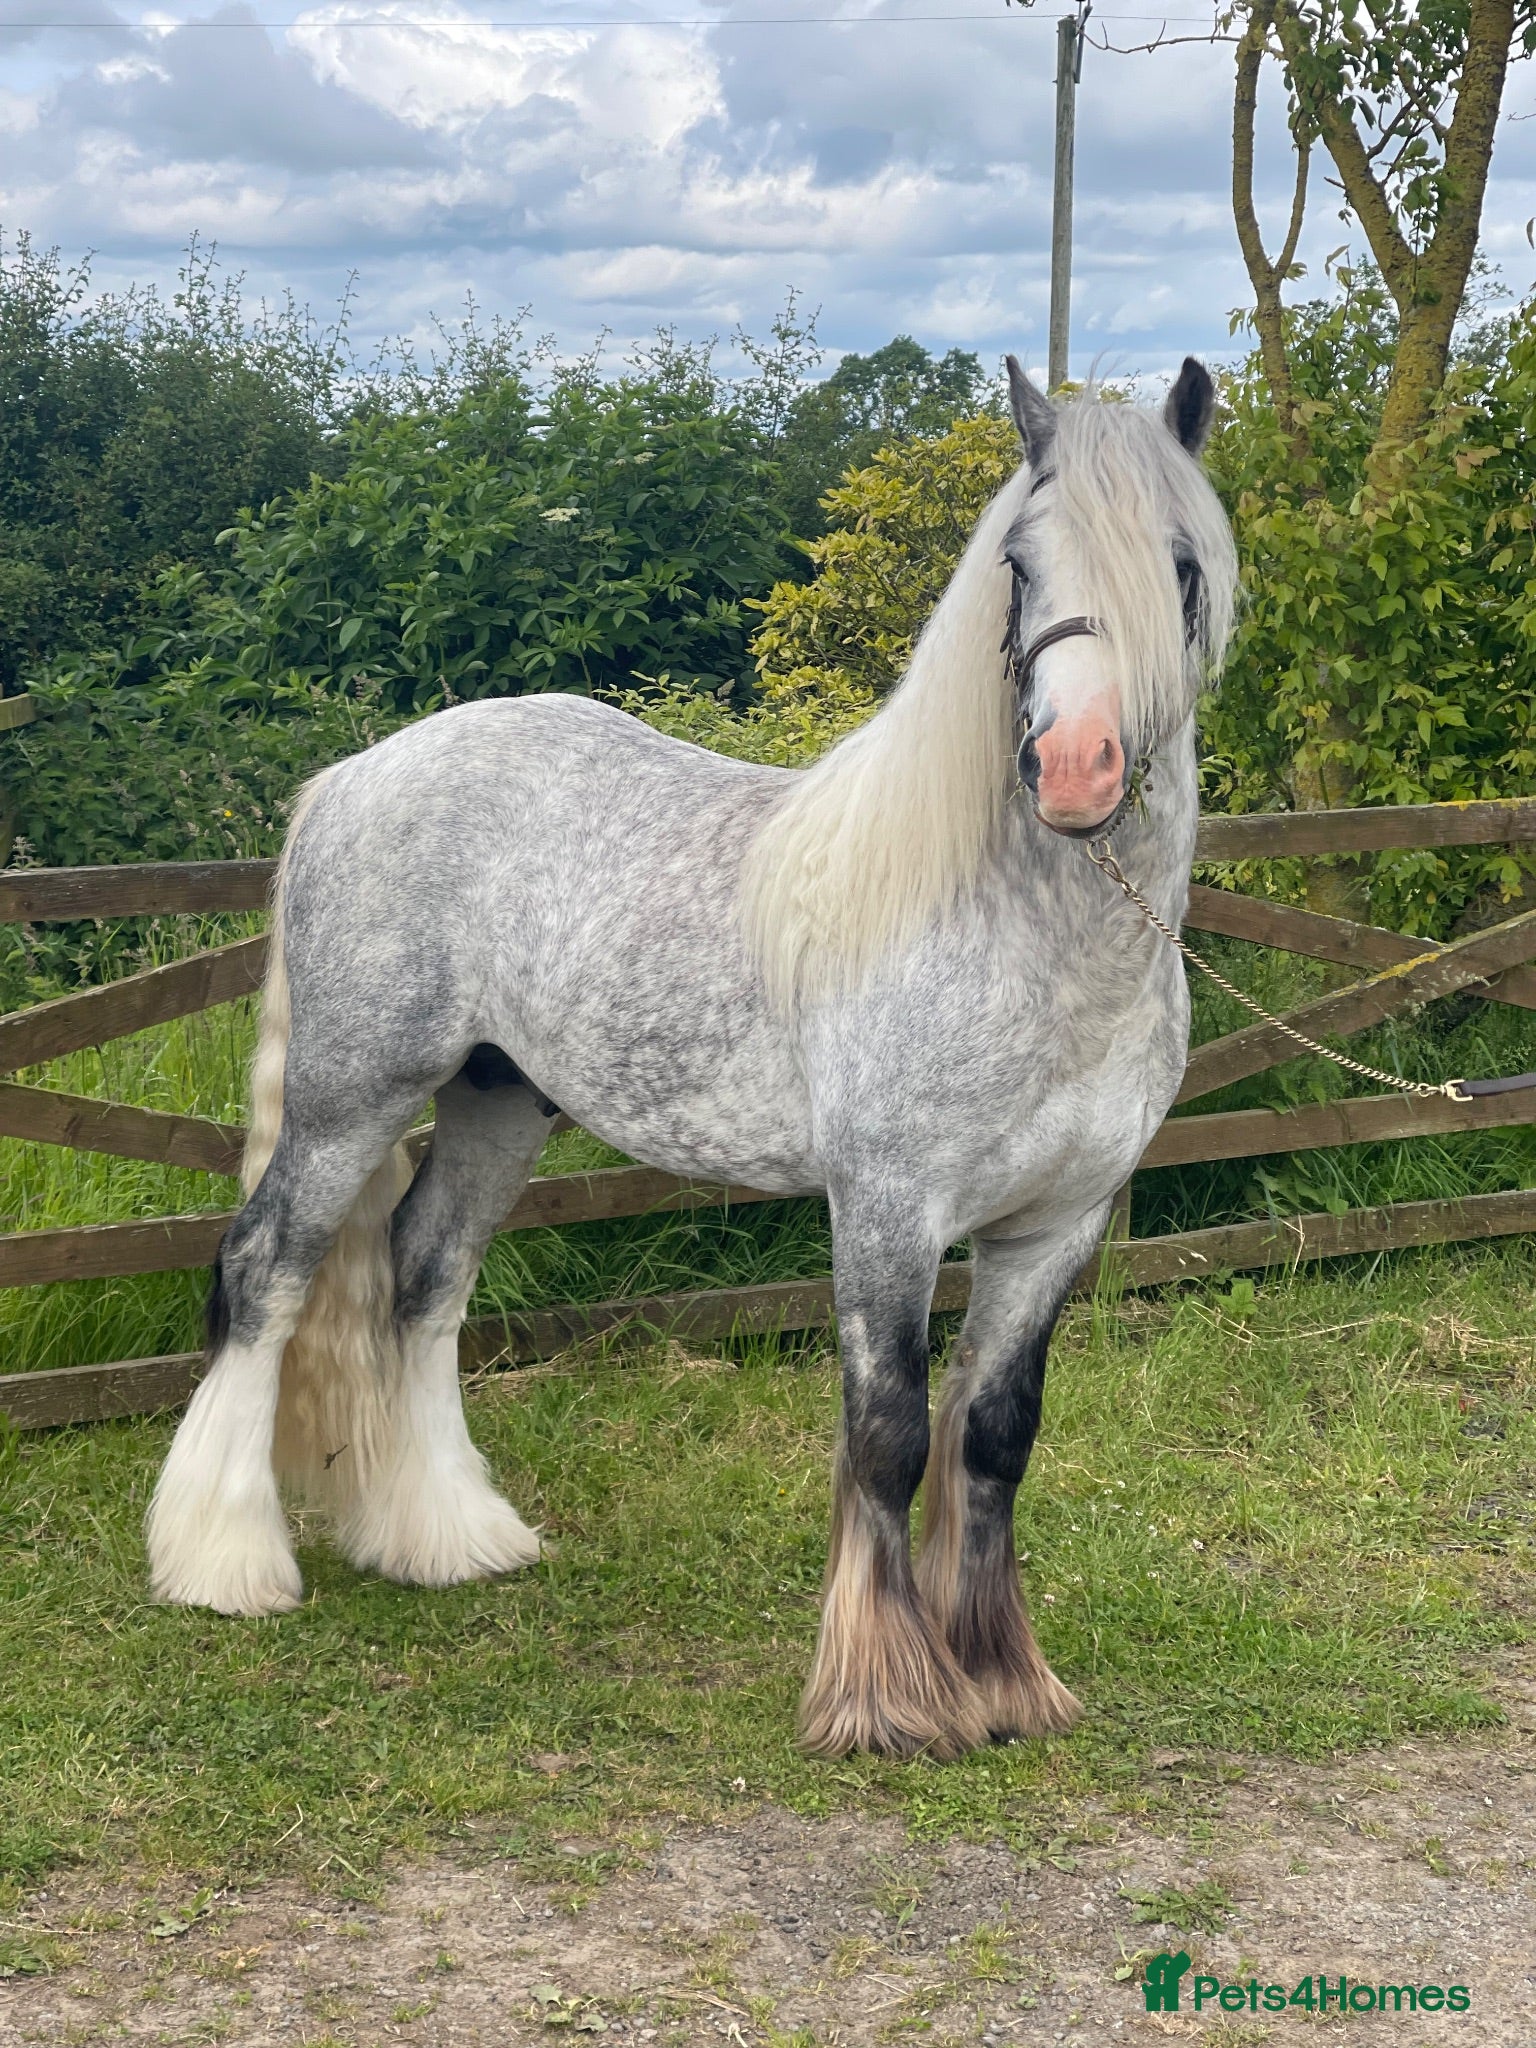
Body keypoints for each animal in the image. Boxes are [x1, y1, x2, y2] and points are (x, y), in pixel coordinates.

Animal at [146, 357, 1237, 1763]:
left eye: (1182, 563)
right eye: (1018, 562)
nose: (1077, 767)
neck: (1023, 930)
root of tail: (358, 772)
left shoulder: (1055, 1225)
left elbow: (994, 1437)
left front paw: (1001, 1682)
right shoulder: (887, 1210)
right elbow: (889, 1435)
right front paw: (884, 1699)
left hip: (500, 1101)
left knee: (424, 1276)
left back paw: (448, 1536)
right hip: (351, 1098)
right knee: (266, 1273)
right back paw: (225, 1561)